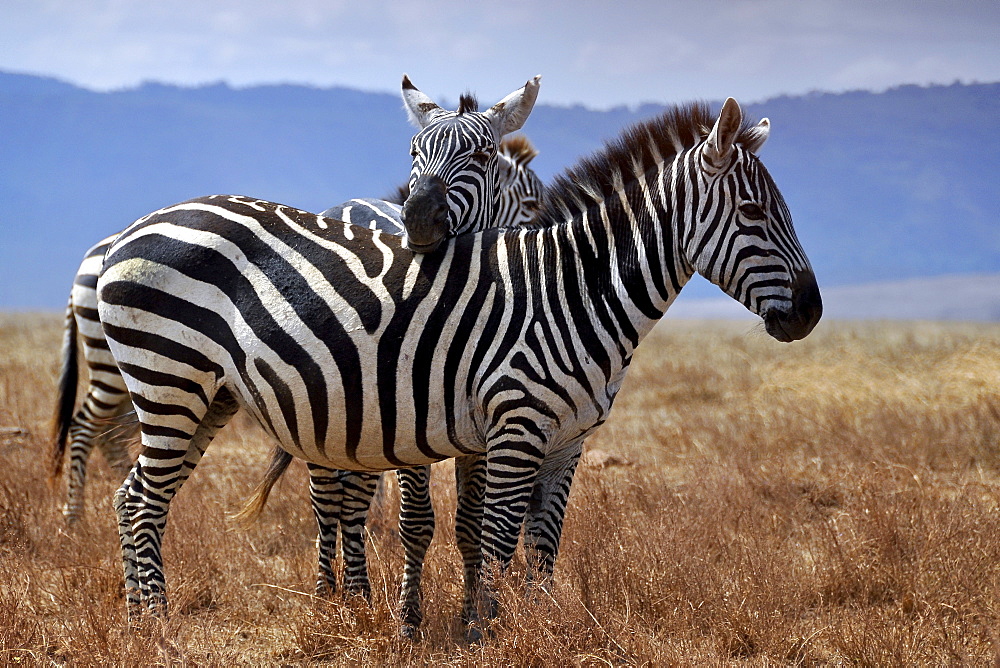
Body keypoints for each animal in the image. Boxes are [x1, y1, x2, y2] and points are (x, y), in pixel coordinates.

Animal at [97, 95, 824, 636]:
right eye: (755, 213)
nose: (813, 312)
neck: (571, 289)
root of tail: (131, 230)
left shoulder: (567, 441)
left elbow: (542, 542)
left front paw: (538, 628)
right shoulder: (516, 426)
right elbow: (497, 537)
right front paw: (487, 633)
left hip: (205, 395)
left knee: (133, 496)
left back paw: (138, 622)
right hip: (171, 381)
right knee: (144, 502)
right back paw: (159, 627)